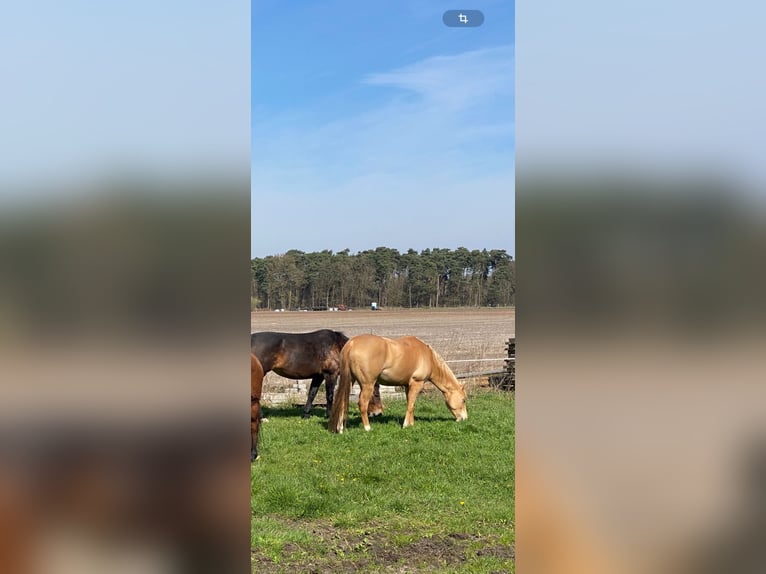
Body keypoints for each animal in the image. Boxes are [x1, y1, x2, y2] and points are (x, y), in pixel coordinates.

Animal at [252, 330, 384, 420]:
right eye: (376, 393)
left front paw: (306, 414)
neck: (337, 346)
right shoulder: (331, 374)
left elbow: (312, 394)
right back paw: (262, 417)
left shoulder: (318, 376)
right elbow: (329, 395)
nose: (378, 413)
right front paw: (329, 415)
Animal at [328, 336, 468, 434]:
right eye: (463, 400)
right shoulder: (417, 384)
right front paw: (406, 425)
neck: (428, 356)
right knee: (362, 404)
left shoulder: (407, 386)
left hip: (350, 381)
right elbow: (411, 405)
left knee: (342, 402)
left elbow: (411, 404)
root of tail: (352, 344)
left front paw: (411, 424)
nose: (464, 418)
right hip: (368, 385)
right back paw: (367, 428)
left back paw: (340, 429)